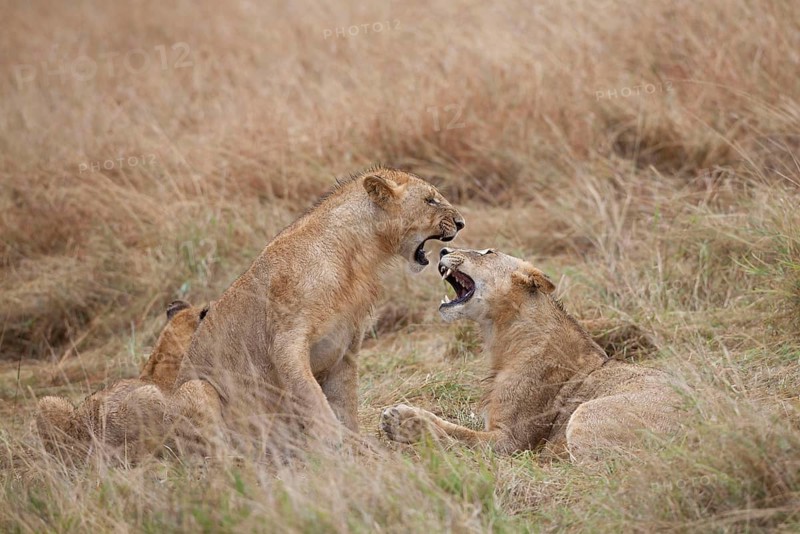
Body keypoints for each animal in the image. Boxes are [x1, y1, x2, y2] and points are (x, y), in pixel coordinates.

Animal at [172, 166, 465, 451]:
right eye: (430, 200)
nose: (461, 223)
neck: (355, 256)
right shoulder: (286, 341)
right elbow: (310, 394)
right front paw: (331, 439)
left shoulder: (346, 347)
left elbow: (345, 401)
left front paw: (356, 443)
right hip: (194, 389)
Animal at [380, 248, 682, 462]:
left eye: (487, 252)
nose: (443, 250)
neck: (500, 334)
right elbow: (453, 425)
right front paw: (406, 412)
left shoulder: (511, 441)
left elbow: (463, 439)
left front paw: (404, 422)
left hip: (585, 416)